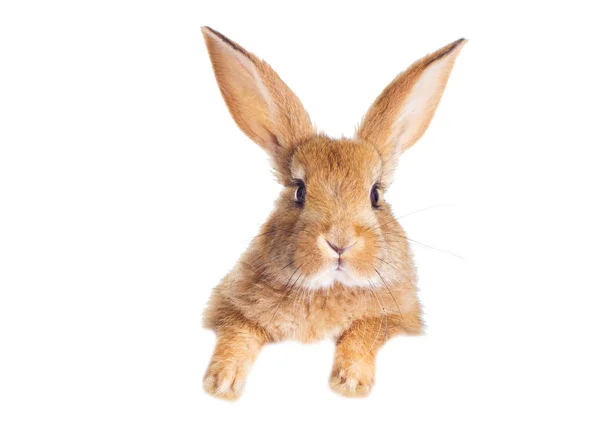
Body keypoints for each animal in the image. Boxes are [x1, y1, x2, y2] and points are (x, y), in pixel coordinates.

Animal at [199, 24, 466, 400]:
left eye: (375, 194)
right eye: (299, 191)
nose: (340, 243)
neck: (328, 288)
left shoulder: (399, 317)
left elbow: (365, 331)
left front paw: (349, 384)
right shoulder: (229, 307)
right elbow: (238, 333)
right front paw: (221, 383)